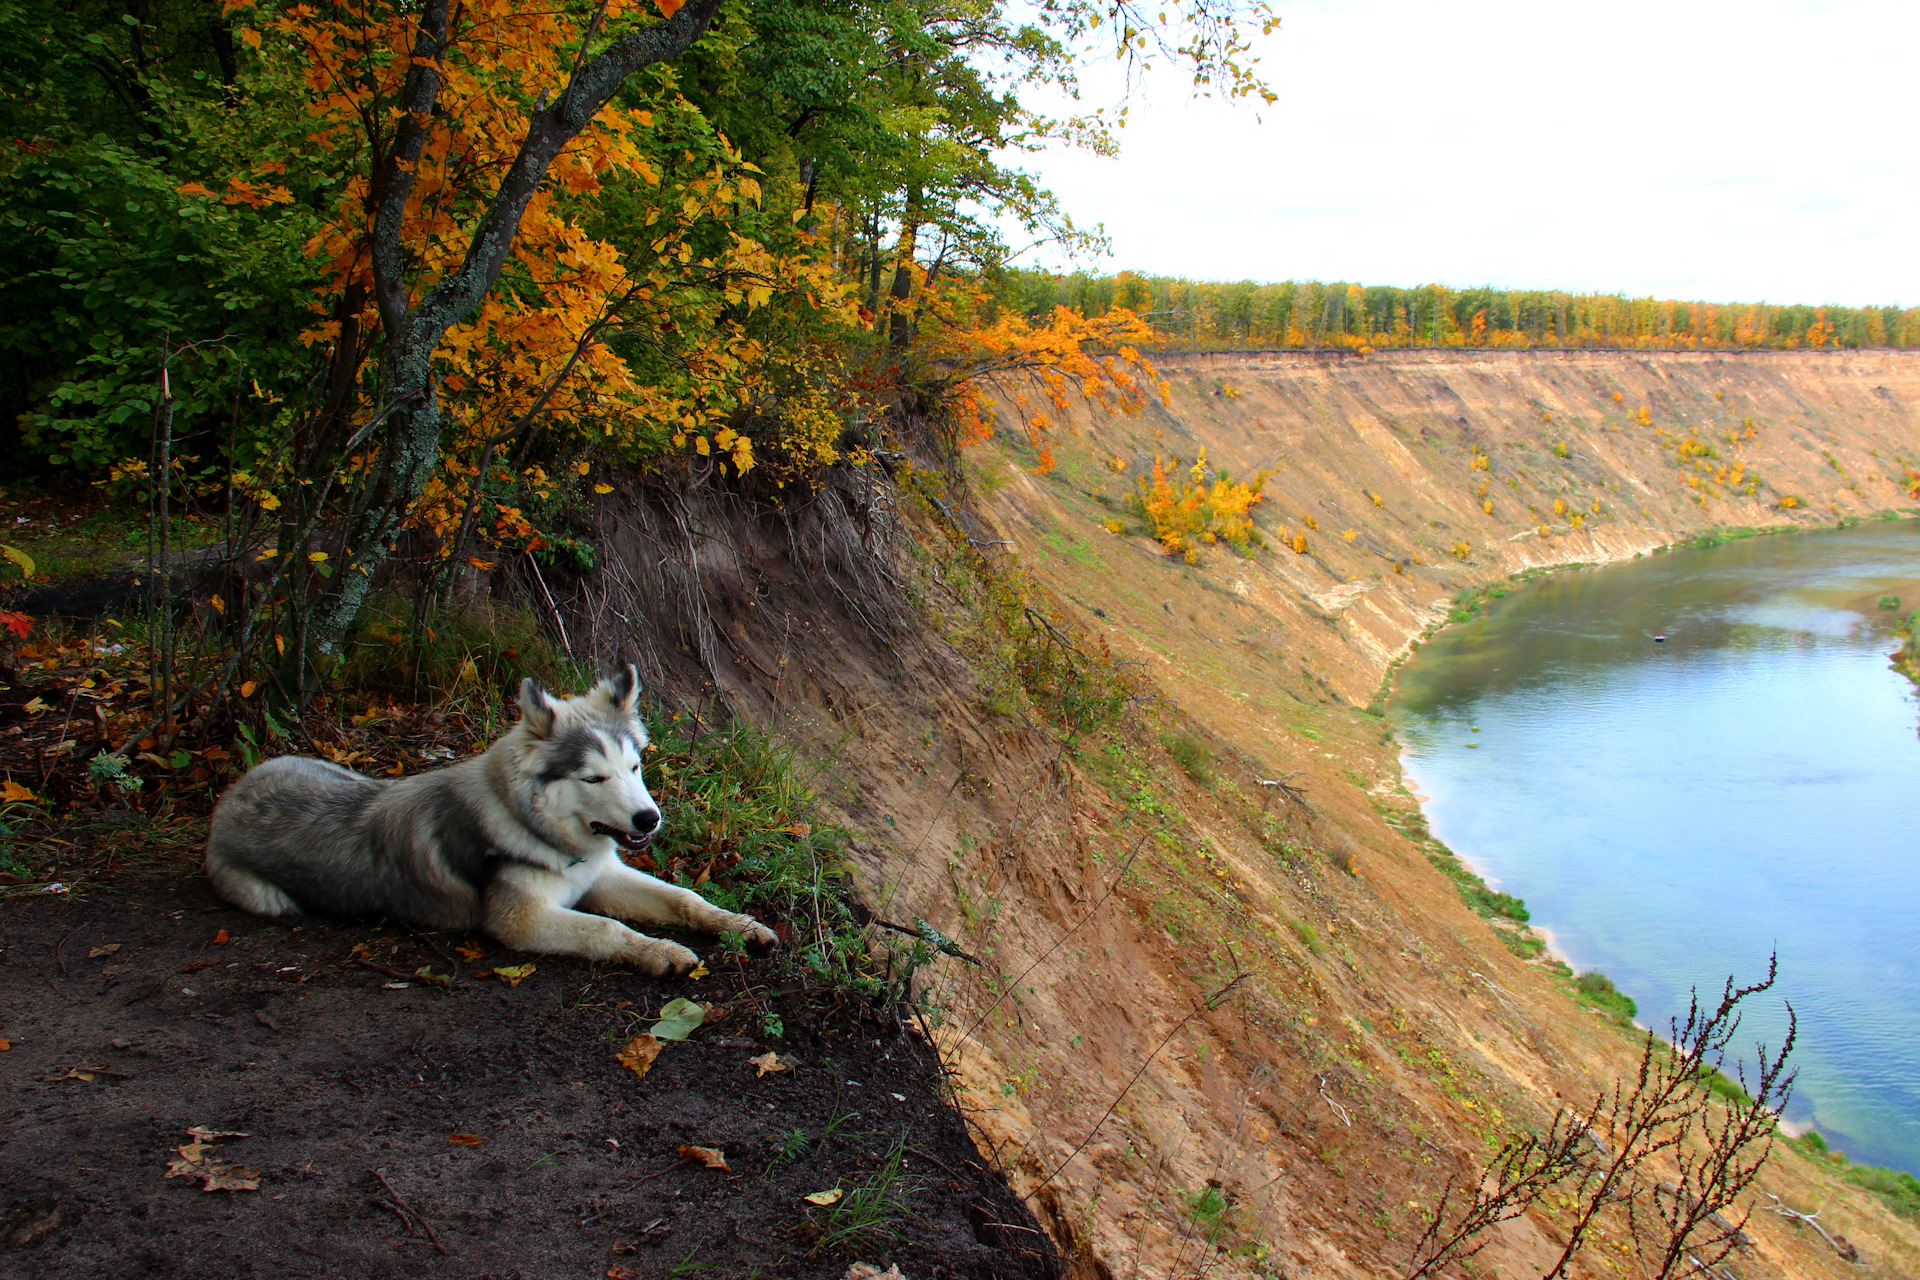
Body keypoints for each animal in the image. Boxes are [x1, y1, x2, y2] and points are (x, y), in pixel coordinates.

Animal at [206, 667, 775, 974]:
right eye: (593, 779)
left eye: (634, 767)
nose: (649, 819)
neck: (531, 825)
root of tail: (233, 792)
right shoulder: (521, 919)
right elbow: (606, 929)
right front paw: (659, 952)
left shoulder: (603, 876)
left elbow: (685, 898)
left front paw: (739, 925)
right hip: (261, 894)